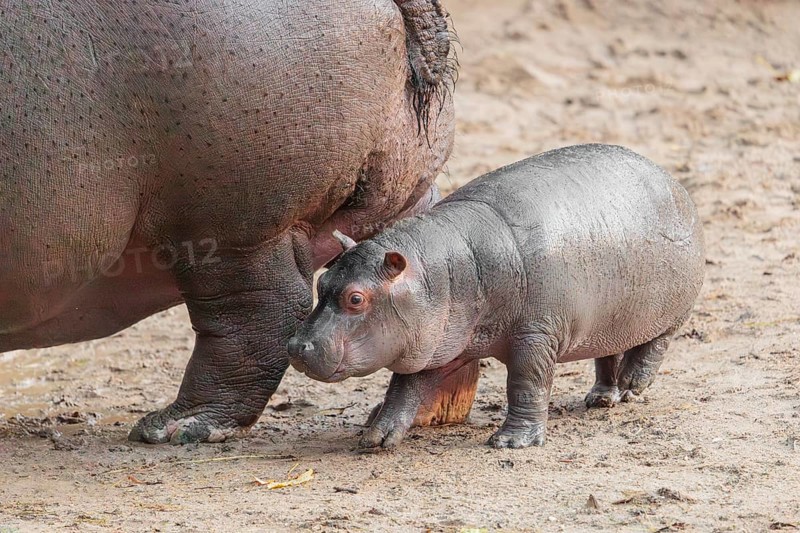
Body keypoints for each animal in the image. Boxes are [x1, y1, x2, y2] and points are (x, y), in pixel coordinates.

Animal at [288, 144, 705, 449]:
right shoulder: (438, 343)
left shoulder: (536, 335)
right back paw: (602, 397)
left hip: (673, 308)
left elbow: (526, 384)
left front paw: (511, 443)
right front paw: (376, 437)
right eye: (323, 282)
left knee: (656, 343)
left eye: (356, 298)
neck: (445, 272)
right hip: (611, 317)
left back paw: (634, 385)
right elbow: (404, 389)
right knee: (608, 353)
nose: (295, 345)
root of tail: (670, 178)